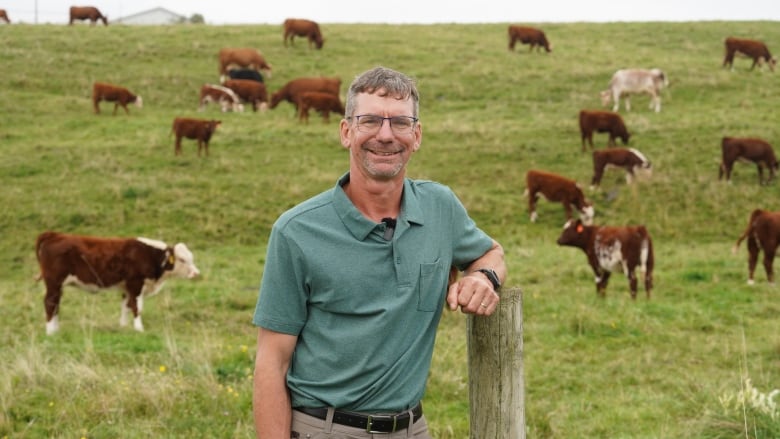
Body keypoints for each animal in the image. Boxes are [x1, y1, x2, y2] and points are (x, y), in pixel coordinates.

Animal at [34, 230, 200, 336]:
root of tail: (54, 234)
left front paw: (124, 327)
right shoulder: (135, 284)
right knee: (50, 303)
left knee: (56, 304)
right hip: (54, 282)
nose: (196, 273)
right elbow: (137, 308)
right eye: (182, 259)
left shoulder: (126, 288)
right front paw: (139, 329)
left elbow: (125, 307)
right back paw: (50, 332)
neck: (150, 255)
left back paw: (56, 329)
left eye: (191, 258)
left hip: (57, 286)